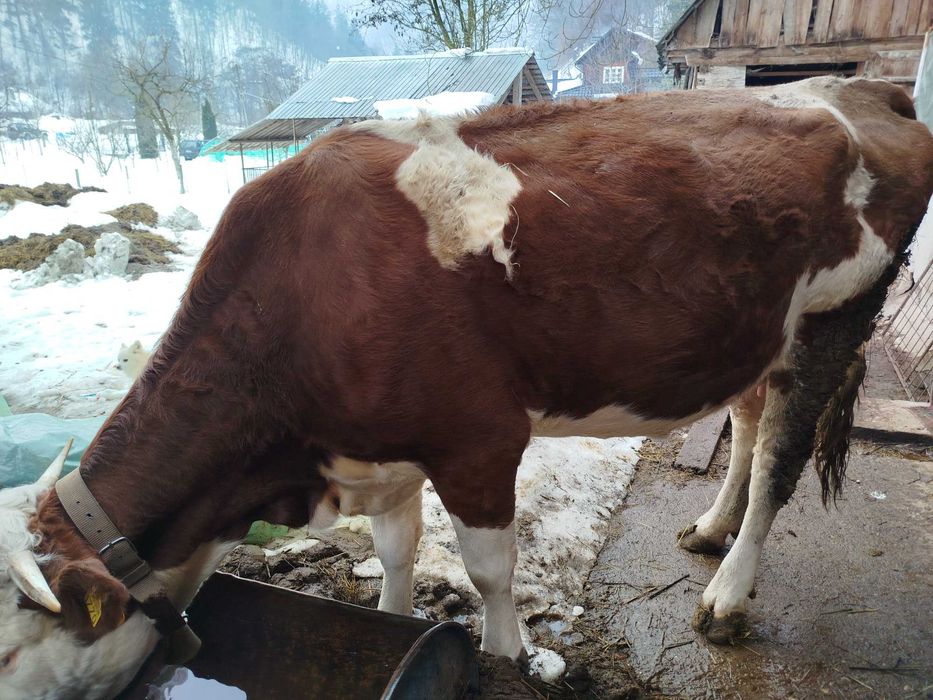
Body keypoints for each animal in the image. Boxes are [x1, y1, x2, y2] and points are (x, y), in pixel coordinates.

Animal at [1, 77, 932, 699]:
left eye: (11, 657)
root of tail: (858, 85)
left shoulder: (477, 439)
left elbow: (488, 569)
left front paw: (503, 655)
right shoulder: (378, 453)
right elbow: (395, 554)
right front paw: (394, 621)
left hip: (835, 315)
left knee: (779, 453)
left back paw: (728, 594)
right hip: (751, 332)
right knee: (745, 419)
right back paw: (709, 528)